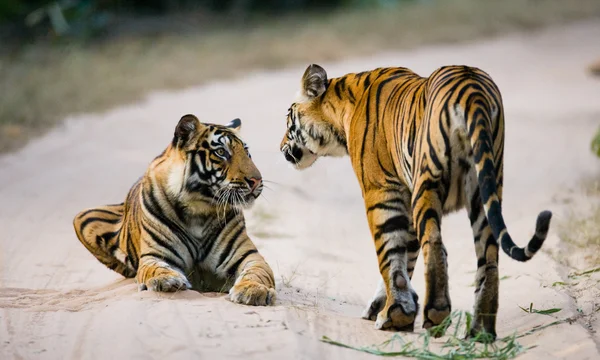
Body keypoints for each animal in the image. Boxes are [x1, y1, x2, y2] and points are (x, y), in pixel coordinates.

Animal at [72, 114, 276, 306]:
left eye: (247, 152)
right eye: (221, 152)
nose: (257, 180)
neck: (199, 208)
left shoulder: (248, 256)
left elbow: (257, 272)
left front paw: (253, 290)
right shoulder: (154, 255)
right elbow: (155, 268)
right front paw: (167, 279)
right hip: (82, 217)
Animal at [282, 63, 552, 338]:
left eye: (288, 119)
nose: (281, 147)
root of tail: (471, 88)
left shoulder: (381, 191)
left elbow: (390, 254)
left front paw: (394, 314)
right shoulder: (406, 195)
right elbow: (405, 256)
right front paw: (390, 308)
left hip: (428, 178)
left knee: (435, 243)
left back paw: (436, 313)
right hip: (485, 186)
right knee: (489, 257)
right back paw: (480, 332)